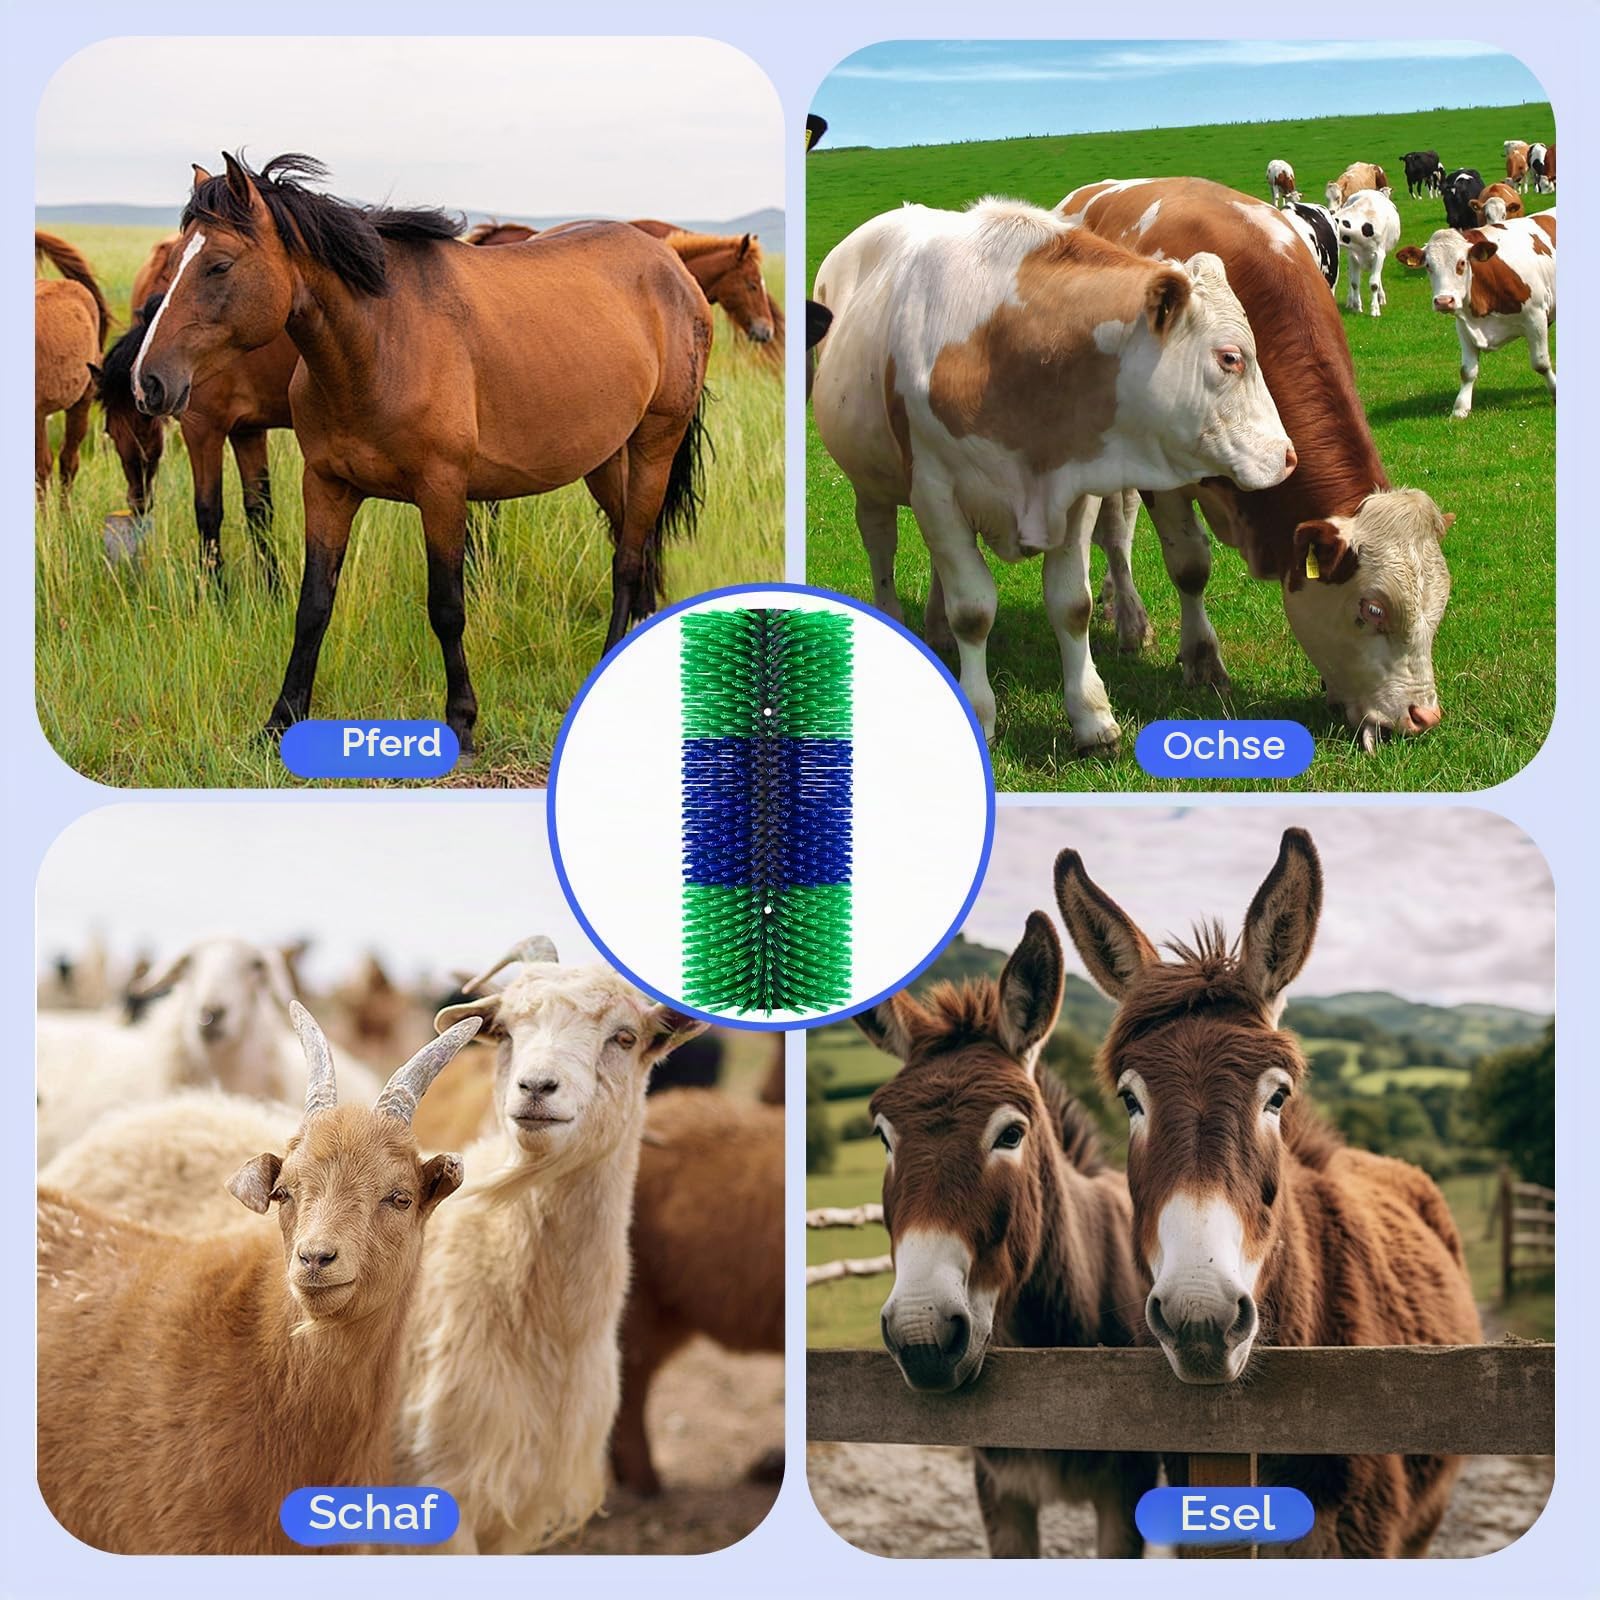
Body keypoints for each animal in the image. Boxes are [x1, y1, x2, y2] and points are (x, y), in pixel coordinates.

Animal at [95, 233, 298, 582]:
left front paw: (215, 589)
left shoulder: (201, 428)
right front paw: (272, 586)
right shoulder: (248, 431)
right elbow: (259, 510)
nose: (136, 501)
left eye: (138, 430)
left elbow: (208, 511)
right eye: (109, 431)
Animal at [130, 153, 712, 754]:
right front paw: (281, 718)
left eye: (218, 265)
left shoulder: (442, 492)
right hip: (606, 459)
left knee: (629, 559)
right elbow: (313, 604)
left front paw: (461, 719)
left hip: (655, 444)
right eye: (174, 261)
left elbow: (447, 607)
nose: (147, 382)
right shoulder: (327, 487)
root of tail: (672, 267)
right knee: (639, 546)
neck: (381, 345)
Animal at [809, 194, 1296, 749]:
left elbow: (1071, 605)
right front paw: (980, 712)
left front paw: (1092, 716)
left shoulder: (1076, 491)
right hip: (871, 482)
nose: (1287, 455)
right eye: (1230, 357)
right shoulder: (936, 489)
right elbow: (973, 611)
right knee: (880, 546)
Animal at [1053, 177, 1454, 751]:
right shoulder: (1165, 479)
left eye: (1439, 607)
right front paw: (1202, 661)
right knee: (1114, 530)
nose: (1422, 716)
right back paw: (1128, 616)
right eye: (1371, 610)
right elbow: (1190, 566)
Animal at [1396, 213, 1555, 418]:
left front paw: (1555, 393)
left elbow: (1541, 363)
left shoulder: (1536, 316)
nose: (1443, 301)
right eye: (1429, 266)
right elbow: (1467, 371)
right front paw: (1460, 409)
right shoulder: (1464, 326)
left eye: (1462, 263)